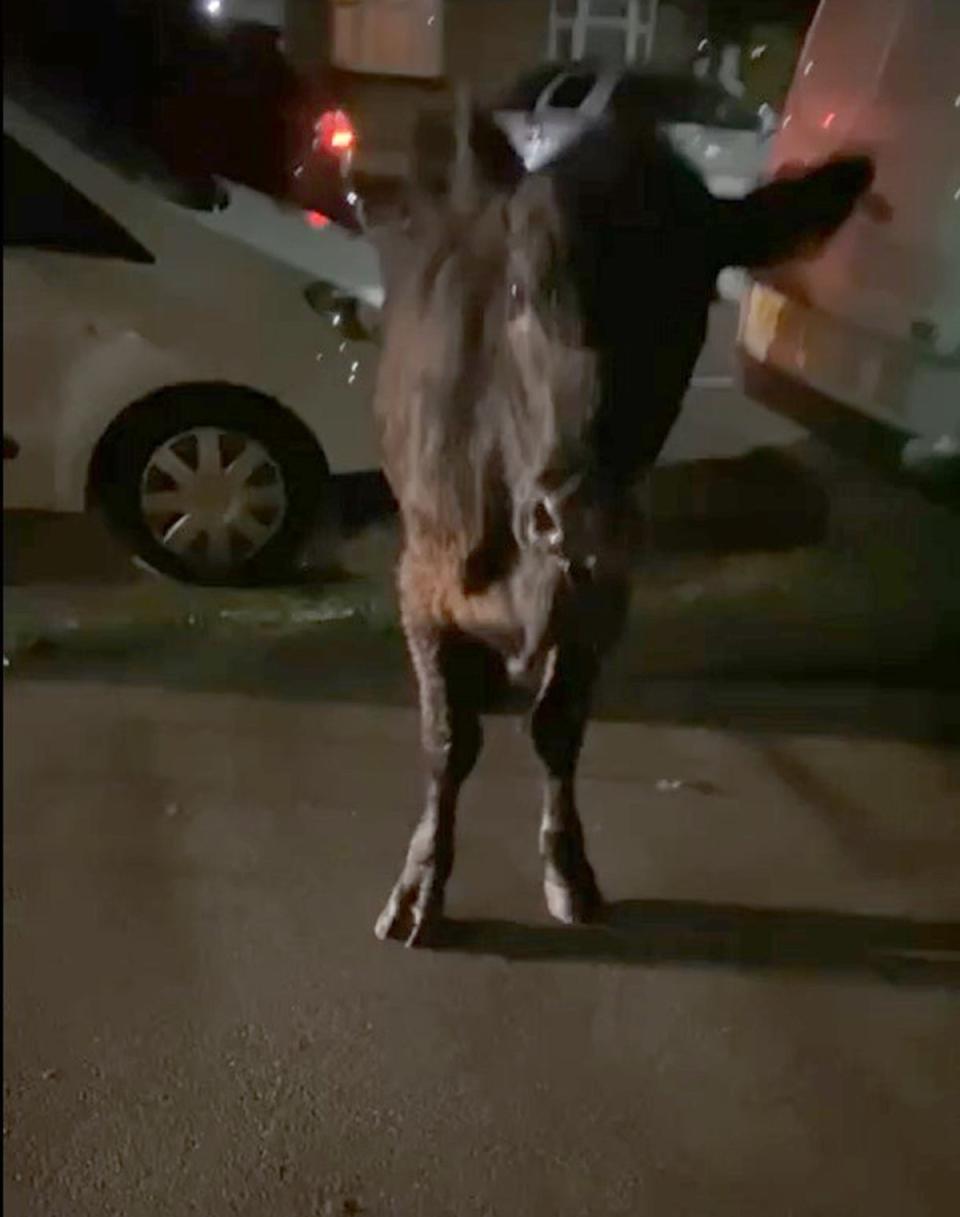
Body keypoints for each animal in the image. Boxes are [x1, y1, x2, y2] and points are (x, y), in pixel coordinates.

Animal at [369, 90, 871, 944]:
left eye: (686, 308)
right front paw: (420, 884)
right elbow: (448, 739)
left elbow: (558, 727)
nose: (578, 513)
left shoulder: (605, 591)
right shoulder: (425, 575)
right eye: (517, 294)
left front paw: (570, 870)